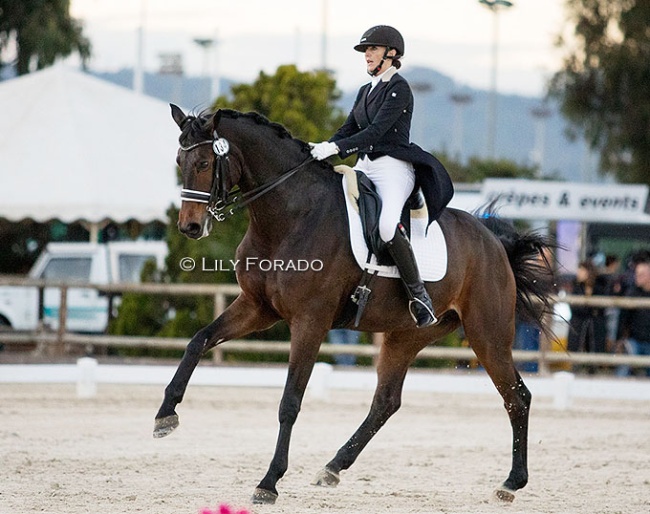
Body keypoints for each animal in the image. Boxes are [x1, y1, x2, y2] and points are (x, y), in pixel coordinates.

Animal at [153, 104, 552, 504]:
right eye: (178, 161)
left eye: (205, 162)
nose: (190, 227)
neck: (289, 216)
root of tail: (495, 243)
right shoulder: (257, 307)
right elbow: (198, 341)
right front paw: (165, 416)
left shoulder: (310, 321)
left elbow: (290, 402)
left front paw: (269, 482)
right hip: (406, 336)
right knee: (386, 402)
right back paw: (332, 467)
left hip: (487, 334)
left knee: (518, 397)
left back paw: (511, 483)